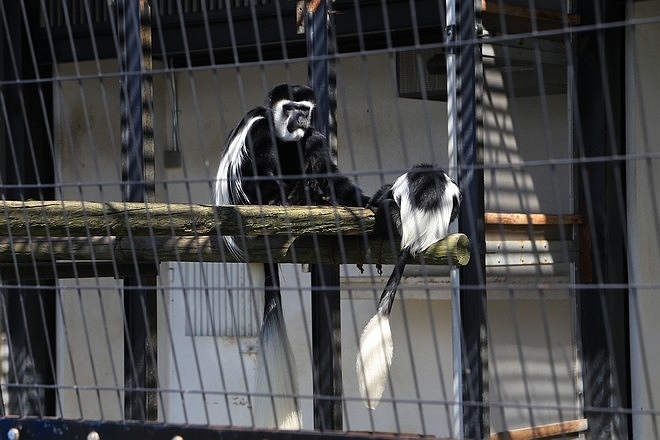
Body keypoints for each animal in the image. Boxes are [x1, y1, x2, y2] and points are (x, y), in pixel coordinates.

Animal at [214, 83, 366, 430]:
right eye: (290, 107)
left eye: (304, 109)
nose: (299, 119)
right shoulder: (258, 128)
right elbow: (261, 150)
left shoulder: (313, 134)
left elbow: (319, 149)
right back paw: (299, 197)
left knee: (311, 145)